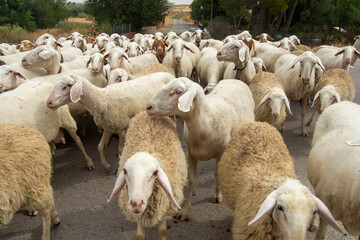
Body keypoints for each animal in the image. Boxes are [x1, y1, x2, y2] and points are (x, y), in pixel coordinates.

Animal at [45, 72, 175, 172]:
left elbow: (120, 150)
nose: (49, 103)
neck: (101, 99)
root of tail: (169, 74)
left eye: (68, 85)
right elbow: (99, 147)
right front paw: (106, 166)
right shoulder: (108, 128)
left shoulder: (122, 129)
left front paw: (118, 169)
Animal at [107, 111, 187, 240]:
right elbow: (140, 235)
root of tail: (145, 112)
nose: (136, 204)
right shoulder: (138, 216)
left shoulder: (164, 210)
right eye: (125, 171)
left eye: (155, 173)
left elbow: (163, 231)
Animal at [145, 78, 255, 220]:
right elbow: (191, 181)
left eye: (178, 92)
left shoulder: (221, 152)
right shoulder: (191, 154)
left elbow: (217, 173)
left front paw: (218, 195)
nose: (148, 107)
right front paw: (185, 210)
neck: (206, 121)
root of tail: (234, 79)